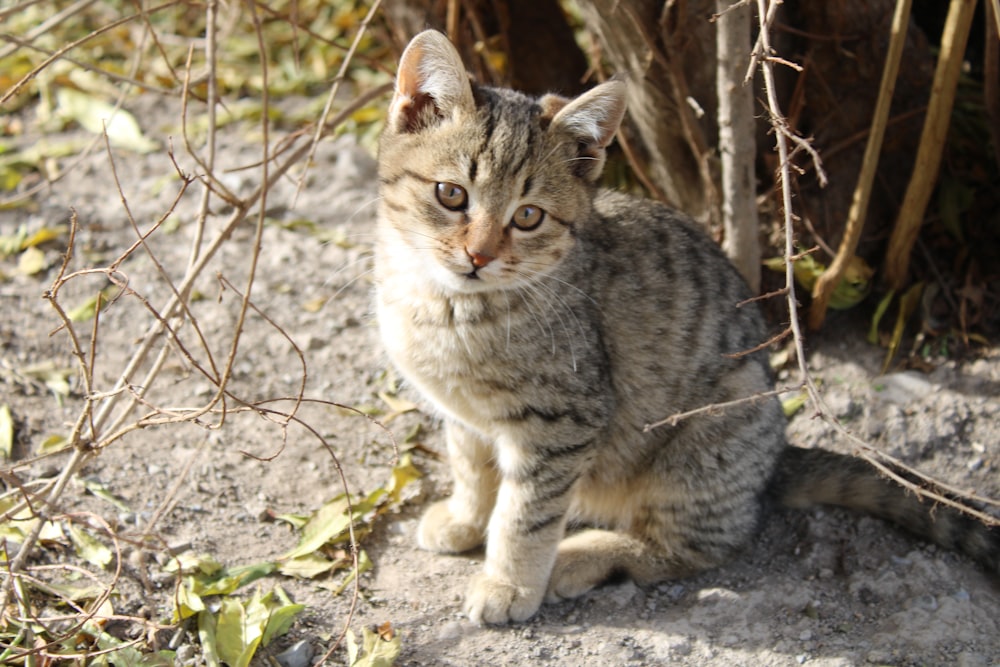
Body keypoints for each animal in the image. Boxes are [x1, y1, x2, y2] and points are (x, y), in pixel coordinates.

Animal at [372, 30, 996, 628]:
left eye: (527, 216)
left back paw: (584, 556)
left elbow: (525, 514)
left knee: (696, 548)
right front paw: (465, 519)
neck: (446, 306)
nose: (478, 256)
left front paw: (509, 584)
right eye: (450, 194)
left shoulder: (563, 422)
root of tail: (774, 464)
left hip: (697, 450)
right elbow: (472, 469)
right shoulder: (466, 417)